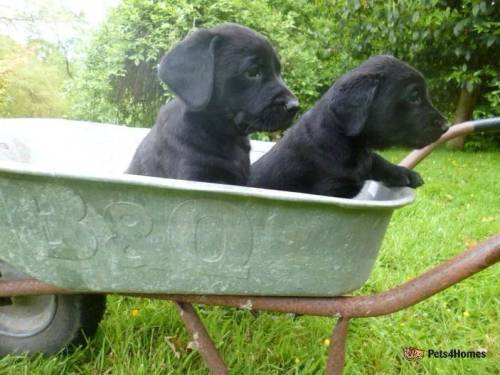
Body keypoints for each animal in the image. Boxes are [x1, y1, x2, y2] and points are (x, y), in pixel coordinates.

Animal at [250, 55, 450, 200]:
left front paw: (405, 173)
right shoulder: (333, 190)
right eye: (414, 96)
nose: (446, 126)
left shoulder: (367, 159)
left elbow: (377, 161)